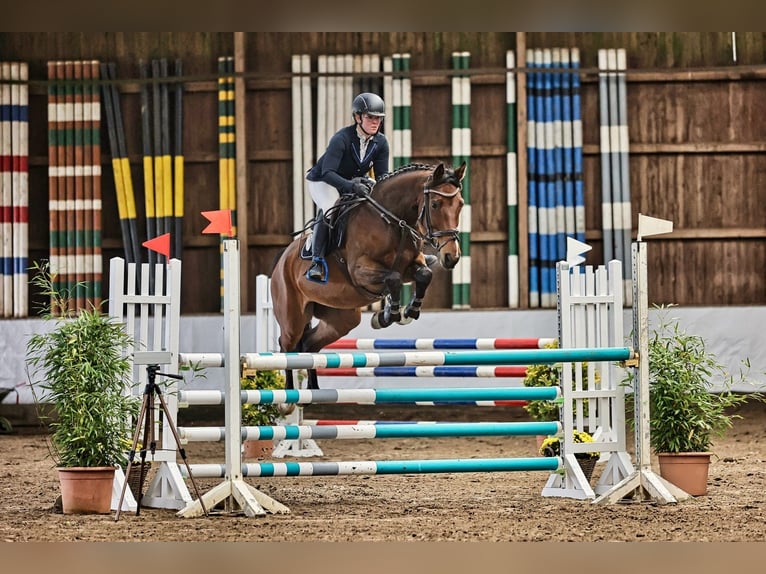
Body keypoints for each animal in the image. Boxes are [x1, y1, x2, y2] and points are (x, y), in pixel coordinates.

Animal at [272, 161, 472, 392]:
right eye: (436, 205)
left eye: (460, 204)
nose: (451, 257)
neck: (393, 221)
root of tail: (281, 261)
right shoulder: (360, 271)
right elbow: (393, 278)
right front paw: (390, 314)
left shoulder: (414, 264)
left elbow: (424, 274)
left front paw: (407, 311)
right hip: (292, 317)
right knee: (286, 346)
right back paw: (288, 394)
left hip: (342, 318)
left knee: (309, 344)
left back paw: (314, 389)